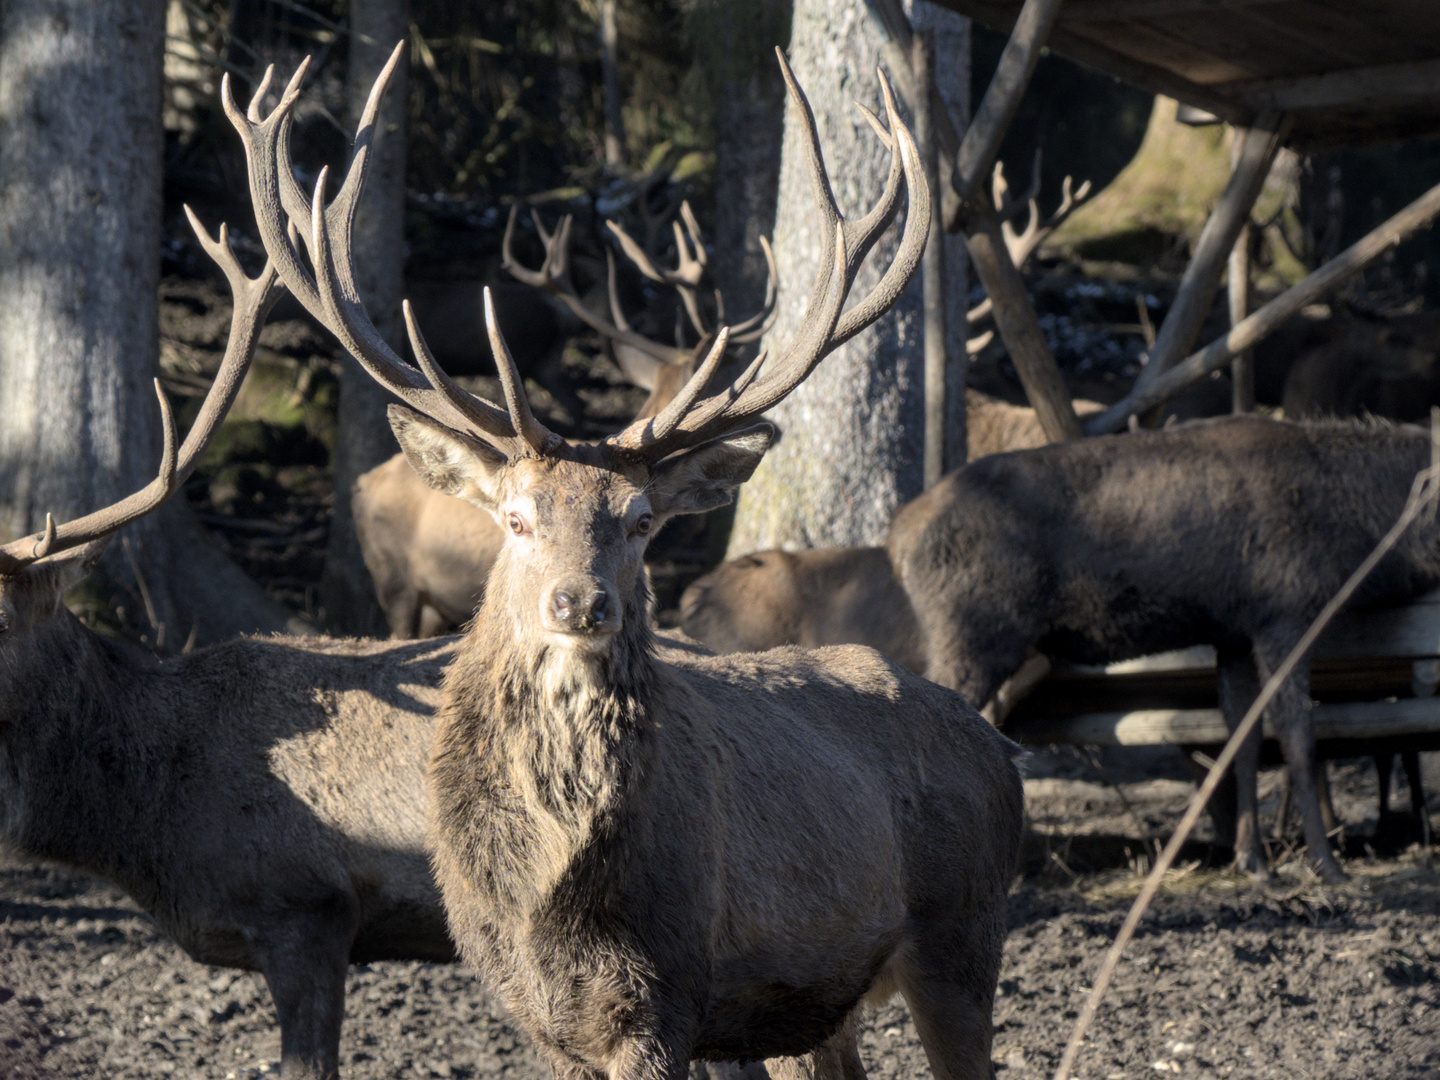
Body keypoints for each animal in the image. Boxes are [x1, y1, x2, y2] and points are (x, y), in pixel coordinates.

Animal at [233, 46, 1025, 1080]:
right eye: (516, 517)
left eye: (642, 519)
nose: (581, 603)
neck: (551, 894)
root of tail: (1001, 751)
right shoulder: (538, 1011)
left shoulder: (667, 993)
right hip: (818, 1006)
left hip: (965, 934)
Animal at [881, 417, 1440, 887]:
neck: (1364, 534)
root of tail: (897, 538)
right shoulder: (1283, 615)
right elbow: (1299, 738)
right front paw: (1328, 866)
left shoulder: (1232, 633)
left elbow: (1243, 740)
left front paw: (1253, 859)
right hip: (974, 636)